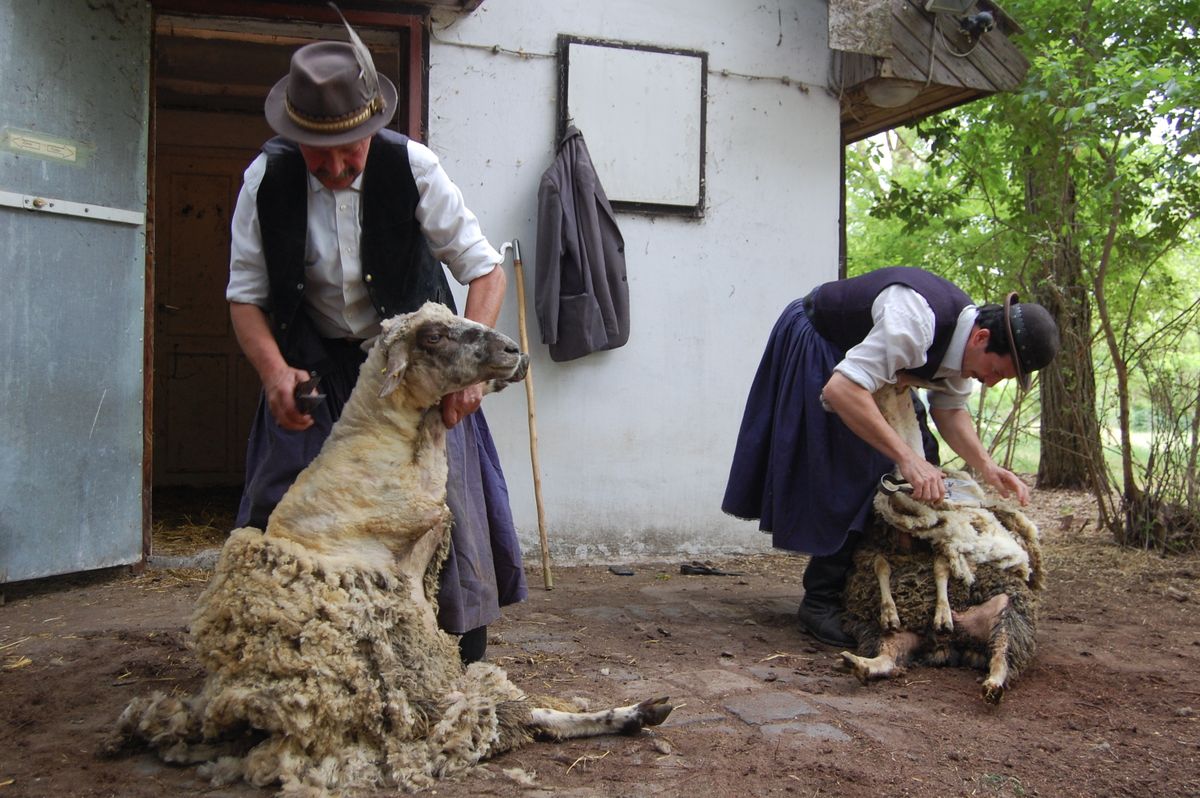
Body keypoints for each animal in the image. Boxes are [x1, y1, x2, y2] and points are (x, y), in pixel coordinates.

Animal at [106, 302, 672, 792]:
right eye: (434, 335)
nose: (515, 352)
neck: (376, 436)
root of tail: (217, 707)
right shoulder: (416, 523)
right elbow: (437, 487)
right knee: (496, 712)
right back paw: (622, 716)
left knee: (514, 711)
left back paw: (635, 713)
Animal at [840, 386, 1046, 705]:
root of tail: (954, 648)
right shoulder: (875, 545)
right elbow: (882, 566)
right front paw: (889, 611)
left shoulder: (943, 542)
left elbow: (940, 569)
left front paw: (943, 614)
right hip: (899, 633)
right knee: (890, 655)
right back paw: (860, 663)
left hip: (1008, 615)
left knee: (1003, 654)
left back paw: (992, 684)